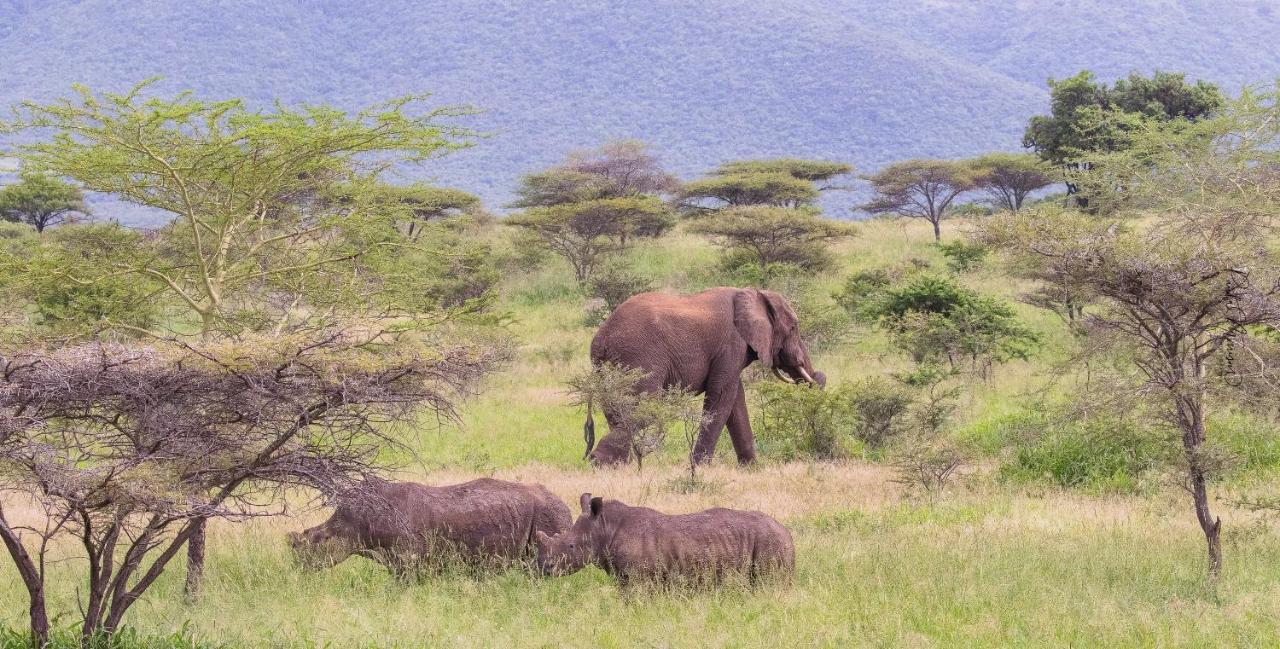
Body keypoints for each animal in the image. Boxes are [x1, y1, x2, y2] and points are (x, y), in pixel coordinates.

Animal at [293, 478, 573, 573]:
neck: (351, 523)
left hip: (548, 514)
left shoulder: (408, 557)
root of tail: (562, 502)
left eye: (317, 543)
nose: (301, 569)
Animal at [535, 494, 793, 586]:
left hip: (770, 541)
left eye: (571, 546)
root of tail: (787, 532)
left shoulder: (639, 578)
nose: (544, 568)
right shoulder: (624, 576)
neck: (604, 527)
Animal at [583, 286, 824, 465]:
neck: (753, 294)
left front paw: (752, 468)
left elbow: (735, 401)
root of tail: (601, 338)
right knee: (645, 408)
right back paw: (601, 463)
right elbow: (722, 397)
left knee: (616, 410)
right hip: (639, 357)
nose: (819, 376)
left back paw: (620, 465)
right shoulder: (731, 344)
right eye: (793, 329)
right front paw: (700, 467)